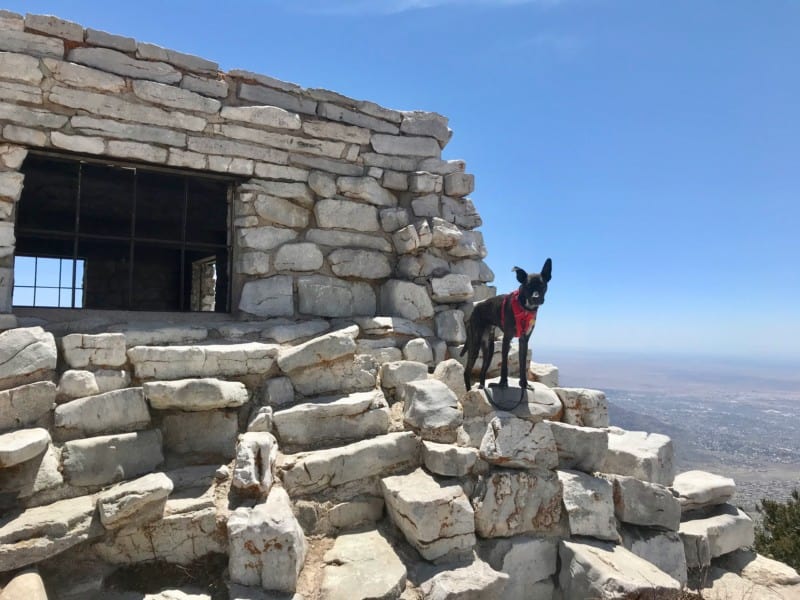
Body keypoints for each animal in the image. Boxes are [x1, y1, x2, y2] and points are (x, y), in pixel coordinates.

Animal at [462, 258, 552, 392]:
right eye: (527, 285)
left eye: (542, 285)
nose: (536, 298)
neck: (524, 308)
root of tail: (475, 309)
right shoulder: (507, 339)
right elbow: (504, 364)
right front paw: (502, 383)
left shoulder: (524, 340)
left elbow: (522, 364)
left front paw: (524, 384)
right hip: (475, 345)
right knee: (466, 372)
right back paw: (469, 391)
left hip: (489, 349)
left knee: (483, 371)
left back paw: (482, 386)